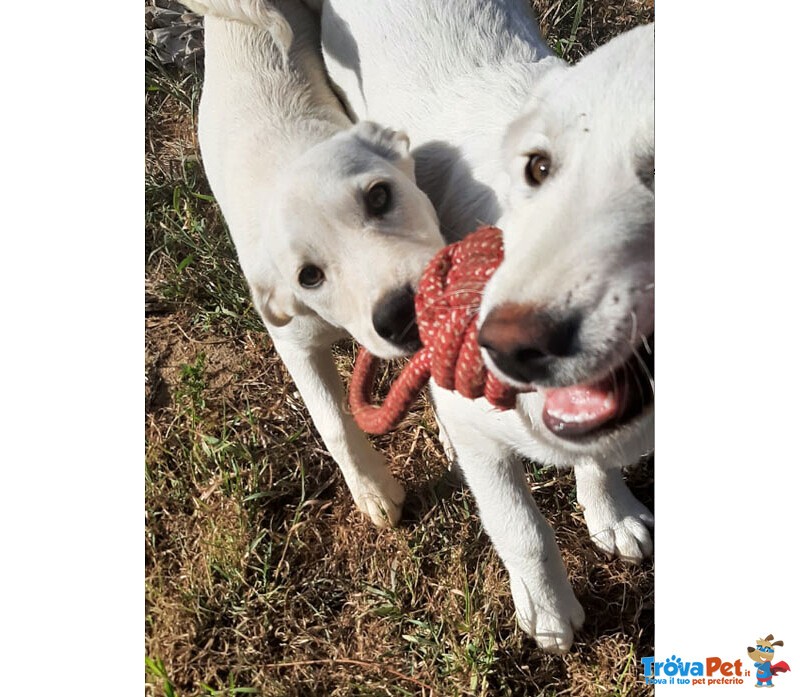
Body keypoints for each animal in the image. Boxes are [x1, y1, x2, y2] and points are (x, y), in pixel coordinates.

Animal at [180, 0, 444, 520]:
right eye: (309, 276)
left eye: (379, 196)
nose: (402, 314)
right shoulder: (294, 345)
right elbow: (333, 422)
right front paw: (372, 489)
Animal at [320, 0, 656, 652]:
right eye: (538, 168)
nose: (506, 344)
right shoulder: (481, 426)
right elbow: (518, 523)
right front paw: (547, 612)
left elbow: (596, 456)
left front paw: (613, 514)